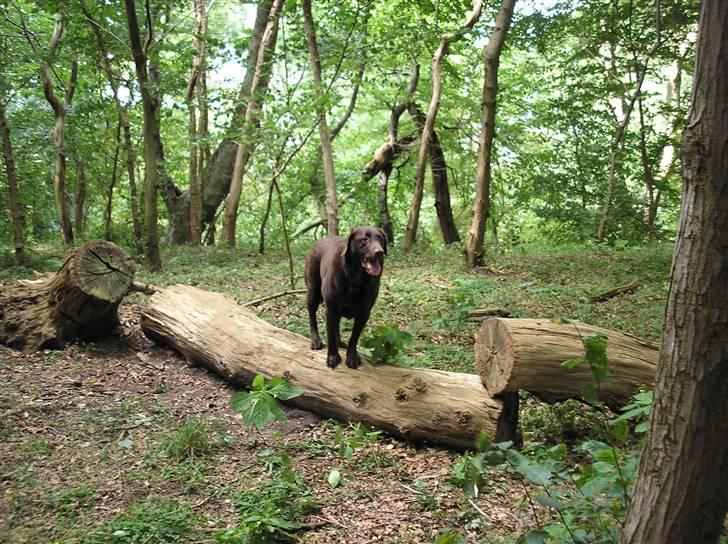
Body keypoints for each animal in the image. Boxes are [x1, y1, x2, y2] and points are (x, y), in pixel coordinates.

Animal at [304, 225, 386, 370]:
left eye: (381, 239)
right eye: (365, 239)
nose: (379, 252)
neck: (356, 279)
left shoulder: (364, 313)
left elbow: (354, 337)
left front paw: (352, 356)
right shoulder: (331, 310)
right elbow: (330, 336)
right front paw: (333, 357)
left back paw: (340, 342)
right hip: (313, 292)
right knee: (312, 317)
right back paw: (315, 340)